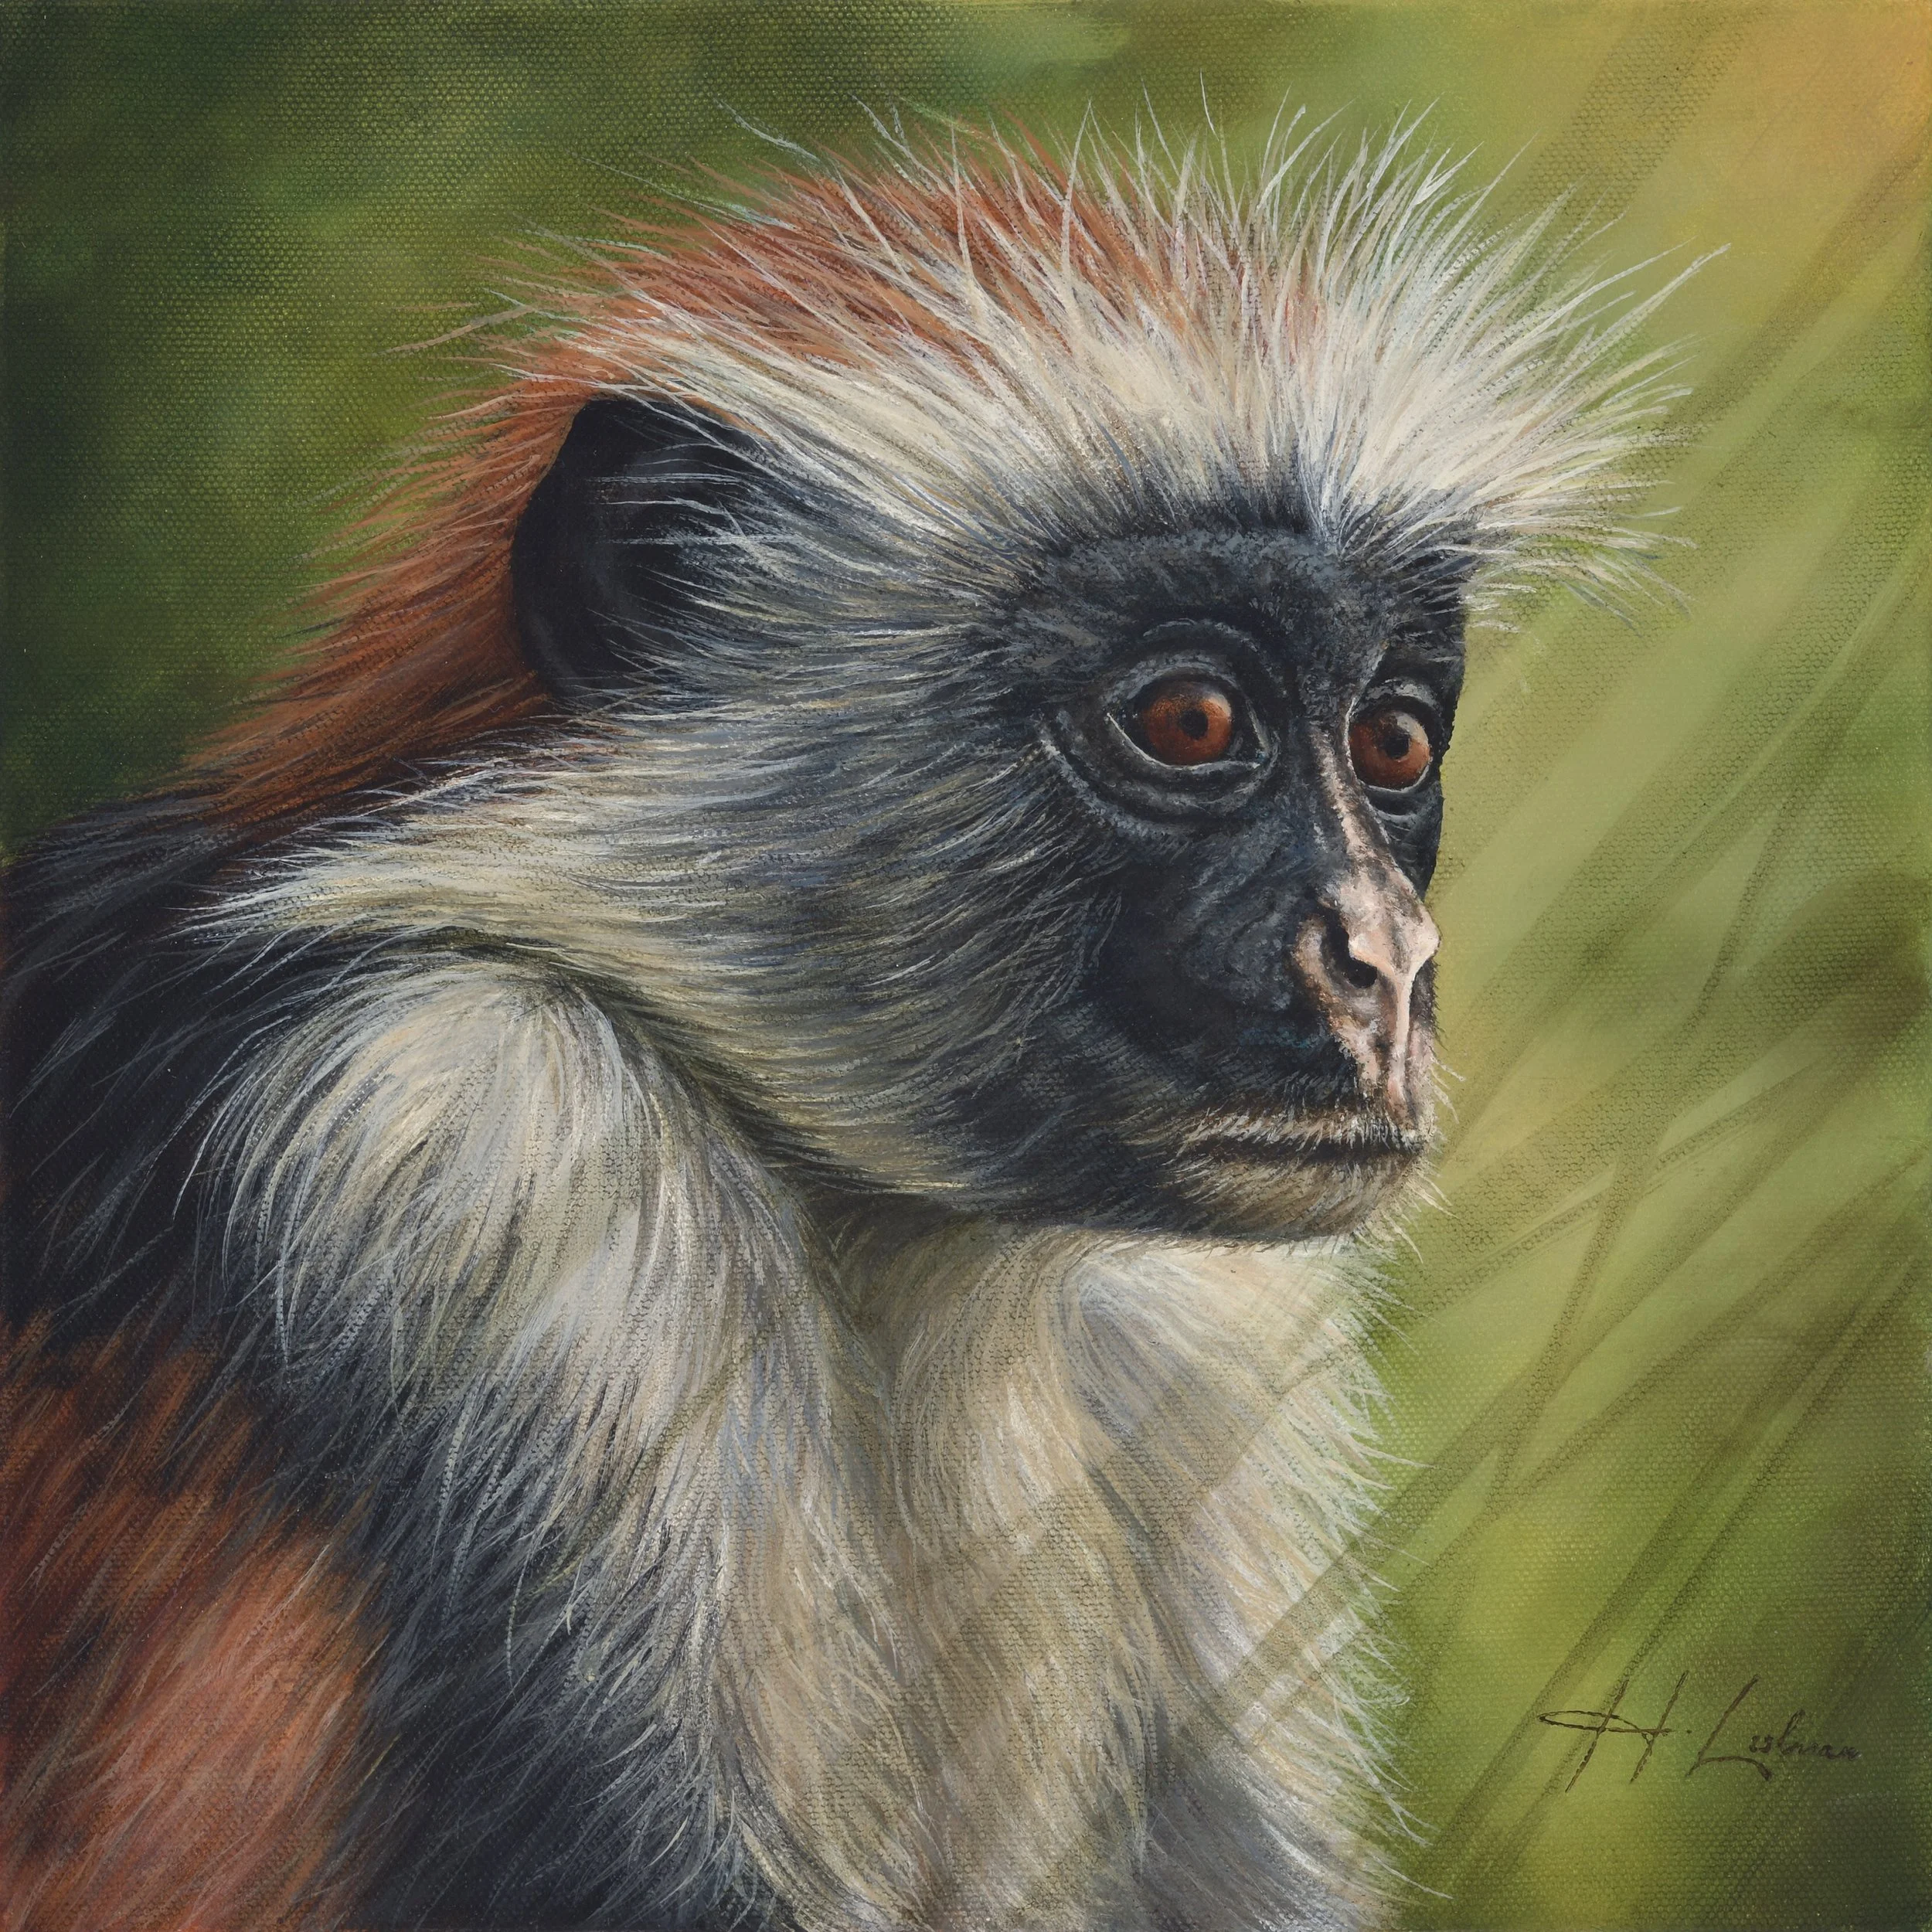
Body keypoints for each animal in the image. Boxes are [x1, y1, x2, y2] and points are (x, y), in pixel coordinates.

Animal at [0, 118, 1691, 1931]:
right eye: (1190, 719)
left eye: (1392, 745)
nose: (1388, 953)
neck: (881, 1230)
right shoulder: (468, 1129)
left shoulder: (1188, 1335)